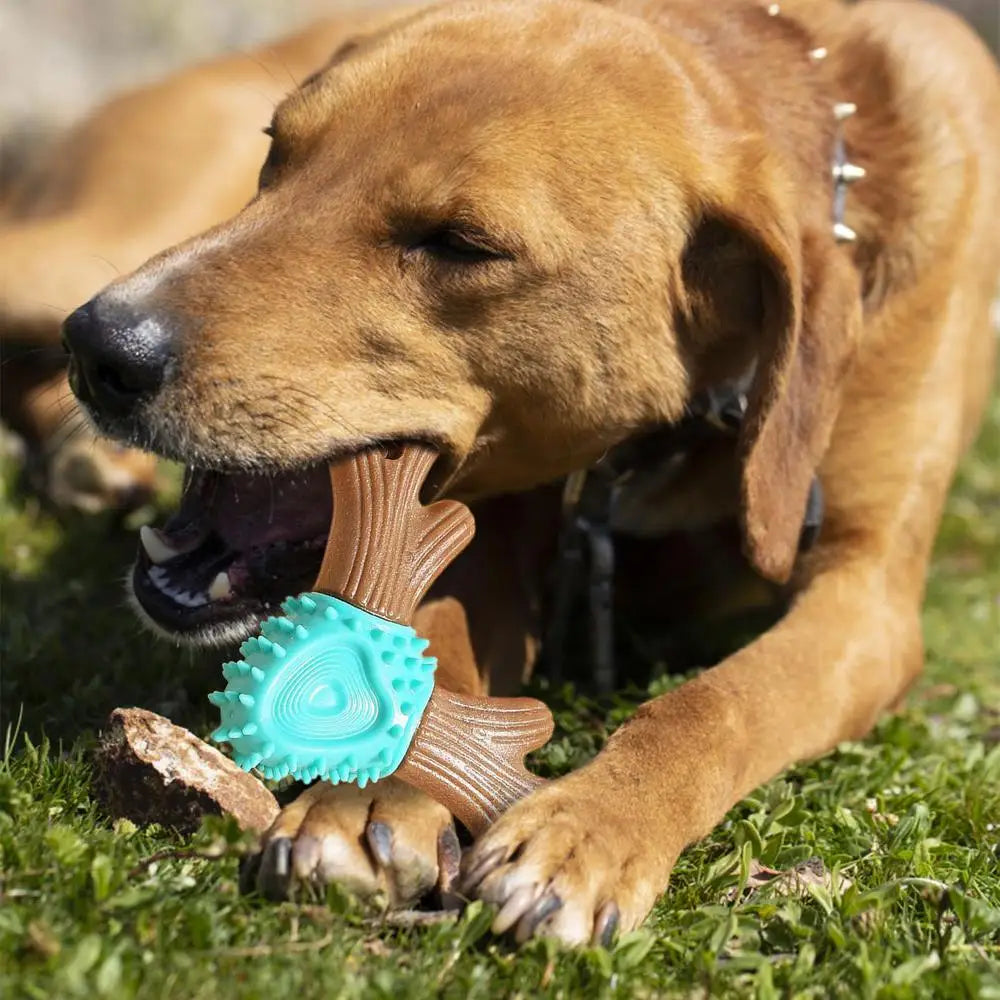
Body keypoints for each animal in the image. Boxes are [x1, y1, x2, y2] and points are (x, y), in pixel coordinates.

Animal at [56, 0, 1000, 944]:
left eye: (461, 244)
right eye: (276, 150)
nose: (100, 348)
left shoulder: (864, 599)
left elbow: (719, 702)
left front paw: (591, 826)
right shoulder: (492, 535)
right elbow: (437, 647)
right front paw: (370, 798)